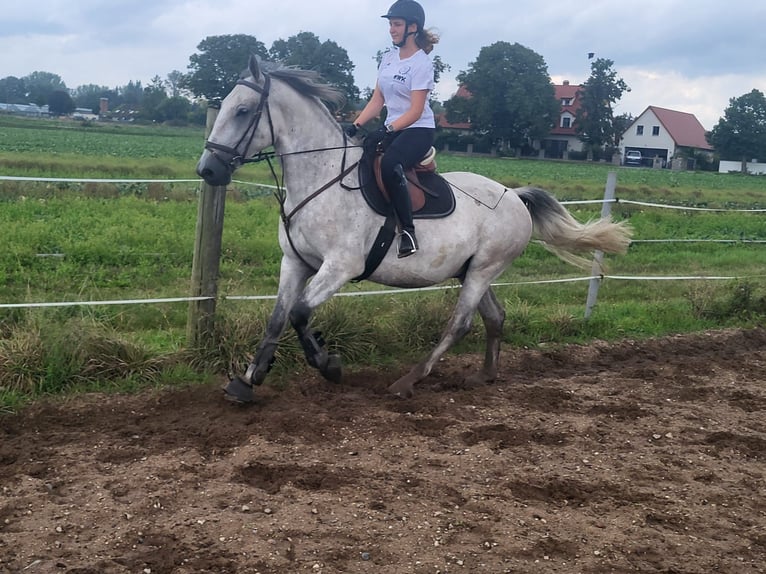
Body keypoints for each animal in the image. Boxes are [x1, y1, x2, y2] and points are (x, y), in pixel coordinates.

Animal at [198, 56, 636, 402]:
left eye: (242, 111)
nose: (208, 170)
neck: (321, 179)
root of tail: (513, 195)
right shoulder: (295, 262)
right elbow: (277, 318)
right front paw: (247, 382)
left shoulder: (339, 267)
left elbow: (300, 313)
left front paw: (330, 365)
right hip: (473, 270)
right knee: (495, 318)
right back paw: (484, 375)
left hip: (483, 270)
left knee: (459, 324)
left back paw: (408, 381)